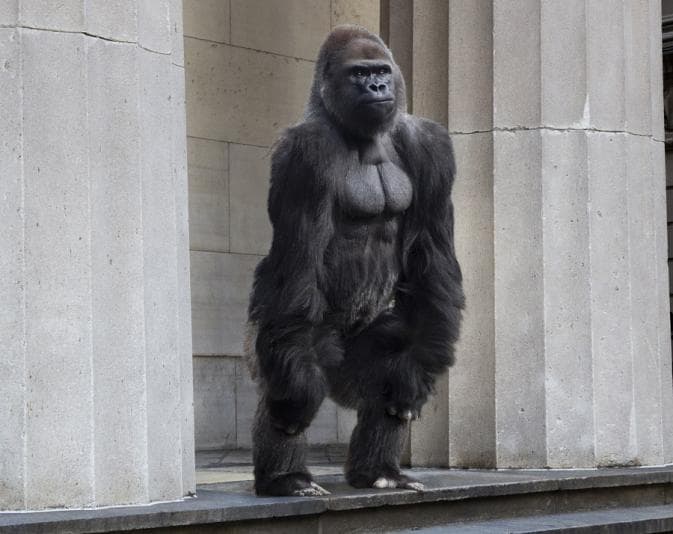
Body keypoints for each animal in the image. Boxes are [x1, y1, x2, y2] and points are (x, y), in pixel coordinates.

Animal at [245, 26, 462, 498]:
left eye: (380, 71)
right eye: (358, 73)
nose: (377, 87)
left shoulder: (431, 147)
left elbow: (432, 261)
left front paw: (412, 378)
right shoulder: (304, 155)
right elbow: (298, 263)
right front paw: (294, 405)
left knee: (394, 361)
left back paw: (379, 469)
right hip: (296, 339)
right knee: (287, 357)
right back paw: (286, 477)